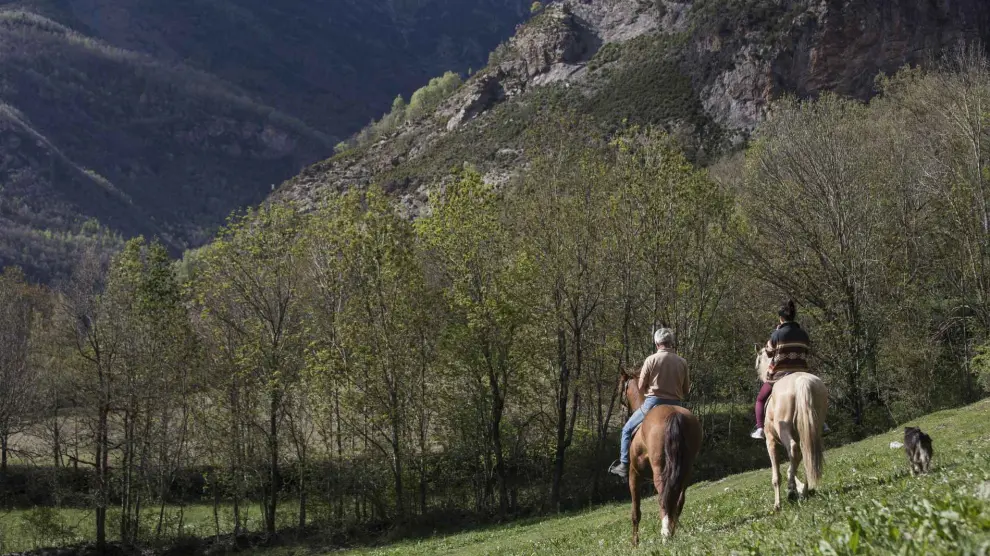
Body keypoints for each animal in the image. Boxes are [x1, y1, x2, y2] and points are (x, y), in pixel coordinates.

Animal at [619, 370, 702, 546]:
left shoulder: (634, 474)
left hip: (660, 469)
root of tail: (674, 414)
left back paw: (665, 534)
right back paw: (672, 530)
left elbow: (635, 512)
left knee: (663, 497)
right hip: (686, 469)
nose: (621, 409)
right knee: (678, 500)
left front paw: (635, 543)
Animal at [755, 350, 828, 510]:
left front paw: (779, 503)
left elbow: (777, 474)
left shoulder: (770, 441)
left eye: (758, 361)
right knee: (806, 455)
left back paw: (791, 492)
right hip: (811, 430)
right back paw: (803, 491)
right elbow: (793, 465)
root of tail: (801, 380)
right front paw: (798, 488)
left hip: (785, 432)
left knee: (794, 451)